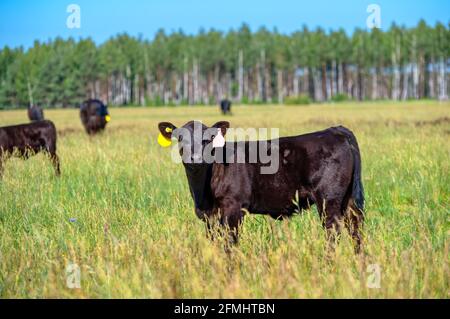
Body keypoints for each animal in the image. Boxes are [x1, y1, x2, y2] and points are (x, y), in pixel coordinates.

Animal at [158, 121, 366, 254]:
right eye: (180, 139)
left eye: (207, 139)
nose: (195, 159)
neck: (202, 194)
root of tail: (336, 130)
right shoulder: (210, 217)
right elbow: (215, 243)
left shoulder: (233, 209)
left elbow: (230, 243)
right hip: (348, 200)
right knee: (356, 228)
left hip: (328, 200)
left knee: (333, 232)